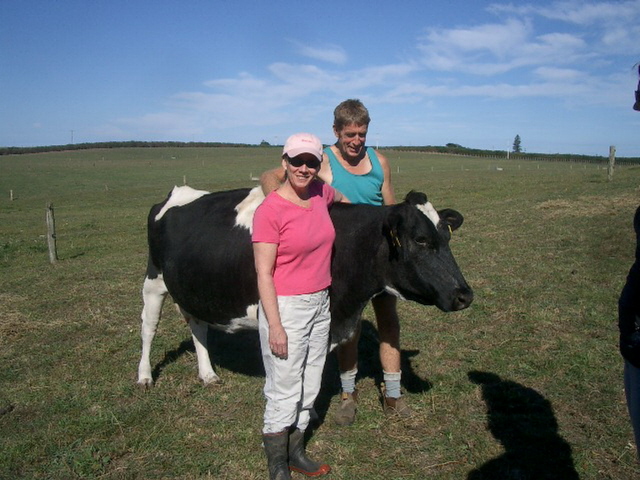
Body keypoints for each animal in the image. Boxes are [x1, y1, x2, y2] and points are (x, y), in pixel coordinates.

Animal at [137, 185, 473, 386]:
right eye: (421, 239)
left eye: (447, 236)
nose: (464, 295)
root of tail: (177, 192)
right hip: (153, 281)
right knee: (148, 328)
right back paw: (144, 376)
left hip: (193, 288)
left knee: (197, 325)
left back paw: (207, 374)